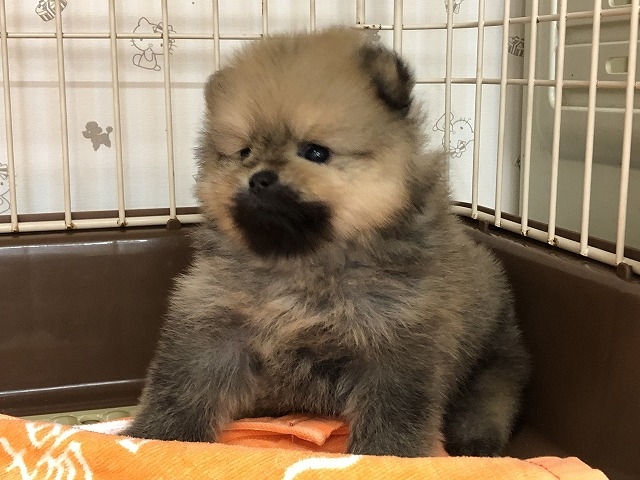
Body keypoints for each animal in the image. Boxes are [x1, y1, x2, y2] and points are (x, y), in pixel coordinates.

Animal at [125, 27, 530, 458]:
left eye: (315, 152)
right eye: (244, 152)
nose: (259, 178)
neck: (301, 265)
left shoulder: (396, 340)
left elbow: (393, 412)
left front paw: (386, 456)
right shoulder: (213, 322)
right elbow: (183, 388)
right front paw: (158, 438)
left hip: (494, 363)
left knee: (490, 399)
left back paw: (477, 442)